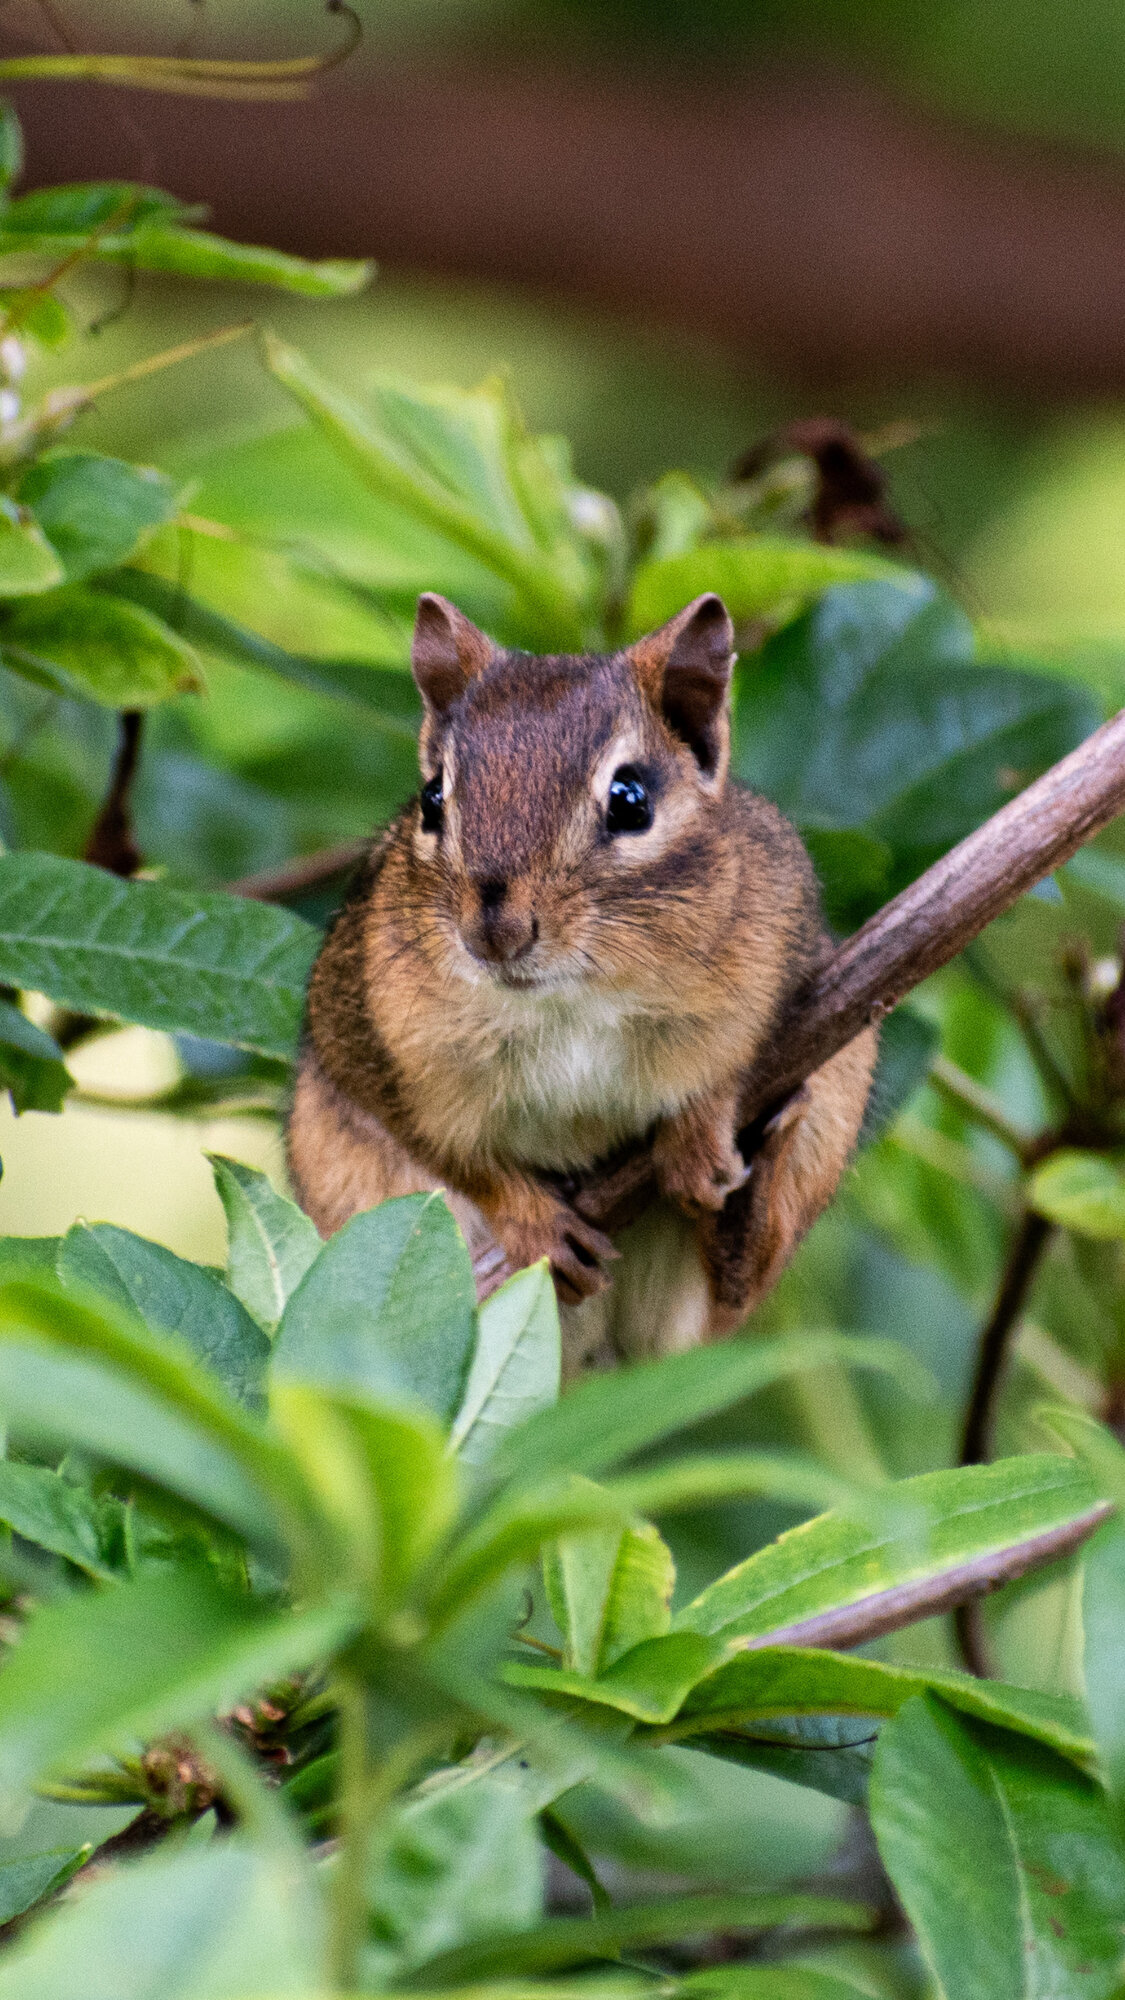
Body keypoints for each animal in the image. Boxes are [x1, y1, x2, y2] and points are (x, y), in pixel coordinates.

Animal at [286, 590, 877, 1374]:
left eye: (630, 799)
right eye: (432, 798)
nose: (496, 931)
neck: (569, 999)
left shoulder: (798, 959)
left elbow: (745, 1057)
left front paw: (699, 1126)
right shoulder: (366, 1039)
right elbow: (452, 1153)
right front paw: (533, 1220)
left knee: (740, 1280)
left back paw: (745, 1200)